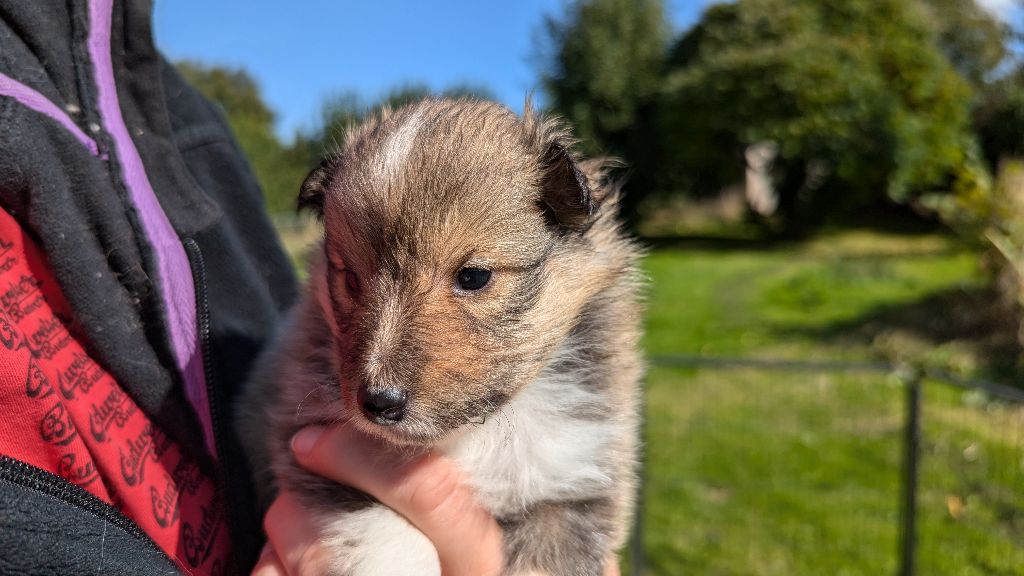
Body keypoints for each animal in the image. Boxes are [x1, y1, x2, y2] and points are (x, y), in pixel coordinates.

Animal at [238, 98, 638, 573]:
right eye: (351, 279)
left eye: (474, 276)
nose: (379, 403)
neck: (477, 433)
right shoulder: (312, 444)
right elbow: (386, 540)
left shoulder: (572, 482)